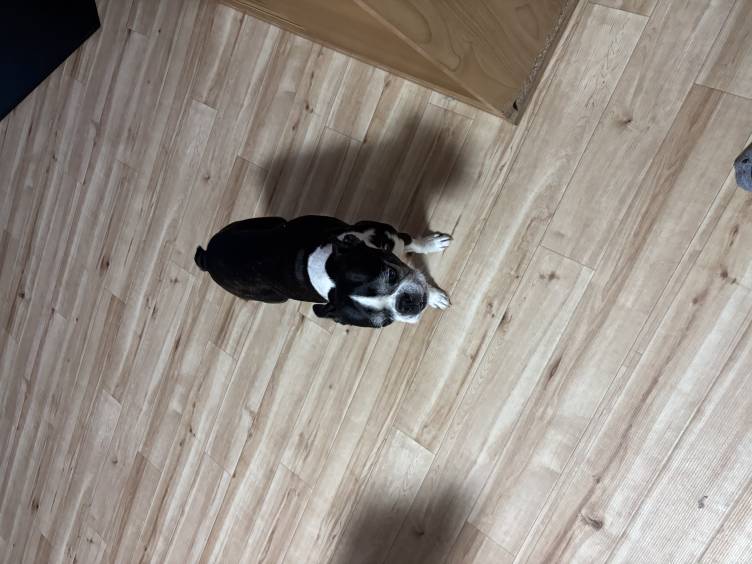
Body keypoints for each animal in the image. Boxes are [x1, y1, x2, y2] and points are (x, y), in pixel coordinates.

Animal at [194, 215, 451, 328]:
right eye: (385, 323)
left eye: (392, 274)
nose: (407, 304)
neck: (330, 271)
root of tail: (207, 257)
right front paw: (434, 297)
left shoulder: (392, 236)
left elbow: (413, 244)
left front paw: (431, 244)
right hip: (275, 297)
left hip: (269, 221)